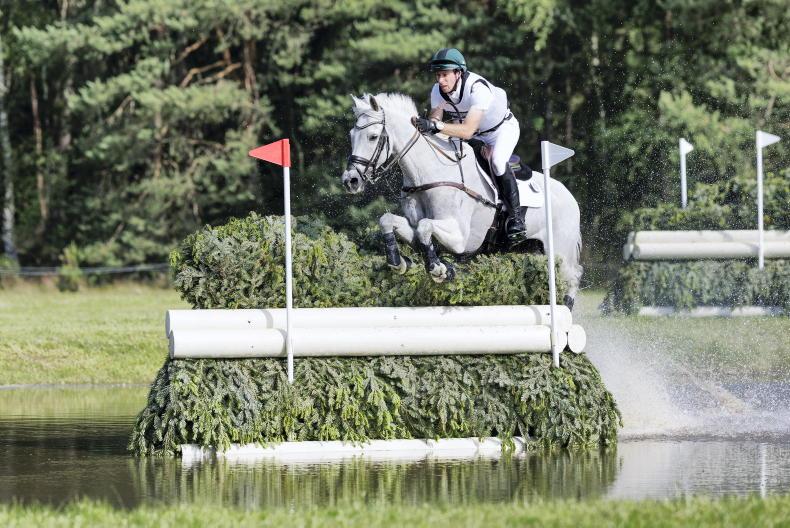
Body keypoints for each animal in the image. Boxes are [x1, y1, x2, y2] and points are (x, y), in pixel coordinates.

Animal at [341, 93, 583, 308]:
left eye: (373, 136)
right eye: (351, 135)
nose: (350, 180)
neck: (429, 172)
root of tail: (569, 196)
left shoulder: (461, 237)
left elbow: (425, 226)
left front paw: (438, 269)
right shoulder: (415, 227)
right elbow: (391, 221)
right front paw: (399, 262)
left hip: (560, 251)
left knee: (572, 277)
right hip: (530, 248)